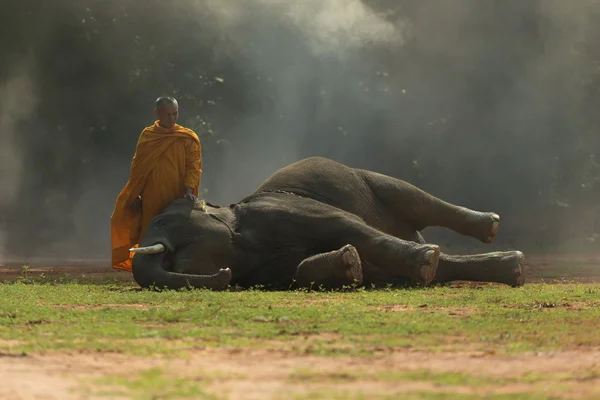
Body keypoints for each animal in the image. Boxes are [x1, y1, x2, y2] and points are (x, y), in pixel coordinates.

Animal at [130, 156, 524, 290]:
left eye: (161, 220)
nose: (225, 276)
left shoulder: (284, 209)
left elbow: (347, 227)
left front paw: (423, 258)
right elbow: (297, 273)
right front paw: (350, 265)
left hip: (364, 178)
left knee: (414, 199)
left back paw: (485, 228)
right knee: (445, 265)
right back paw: (512, 268)